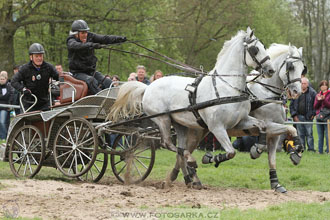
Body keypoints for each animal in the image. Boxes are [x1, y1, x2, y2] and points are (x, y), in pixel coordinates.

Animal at [109, 27, 274, 189]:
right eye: (255, 50)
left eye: (263, 47)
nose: (270, 70)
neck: (226, 87)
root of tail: (148, 87)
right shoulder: (216, 127)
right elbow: (231, 152)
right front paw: (209, 158)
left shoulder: (241, 121)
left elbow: (262, 125)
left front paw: (257, 149)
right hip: (163, 119)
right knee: (167, 144)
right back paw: (191, 161)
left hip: (179, 124)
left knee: (179, 149)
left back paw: (189, 177)